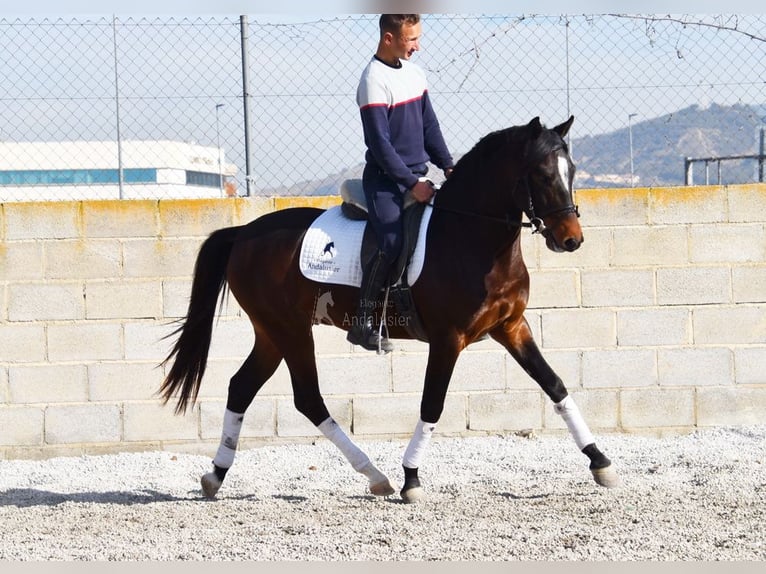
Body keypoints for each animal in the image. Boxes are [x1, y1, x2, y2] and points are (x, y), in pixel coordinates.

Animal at [160, 117, 624, 504]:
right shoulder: (448, 339)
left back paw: (216, 475)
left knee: (242, 387)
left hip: (271, 333)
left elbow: (555, 385)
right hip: (290, 330)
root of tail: (243, 232)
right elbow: (432, 405)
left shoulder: (512, 326)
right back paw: (375, 474)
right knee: (308, 397)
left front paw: (600, 462)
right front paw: (411, 479)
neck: (471, 237)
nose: (571, 239)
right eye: (543, 175)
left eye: (573, 171)